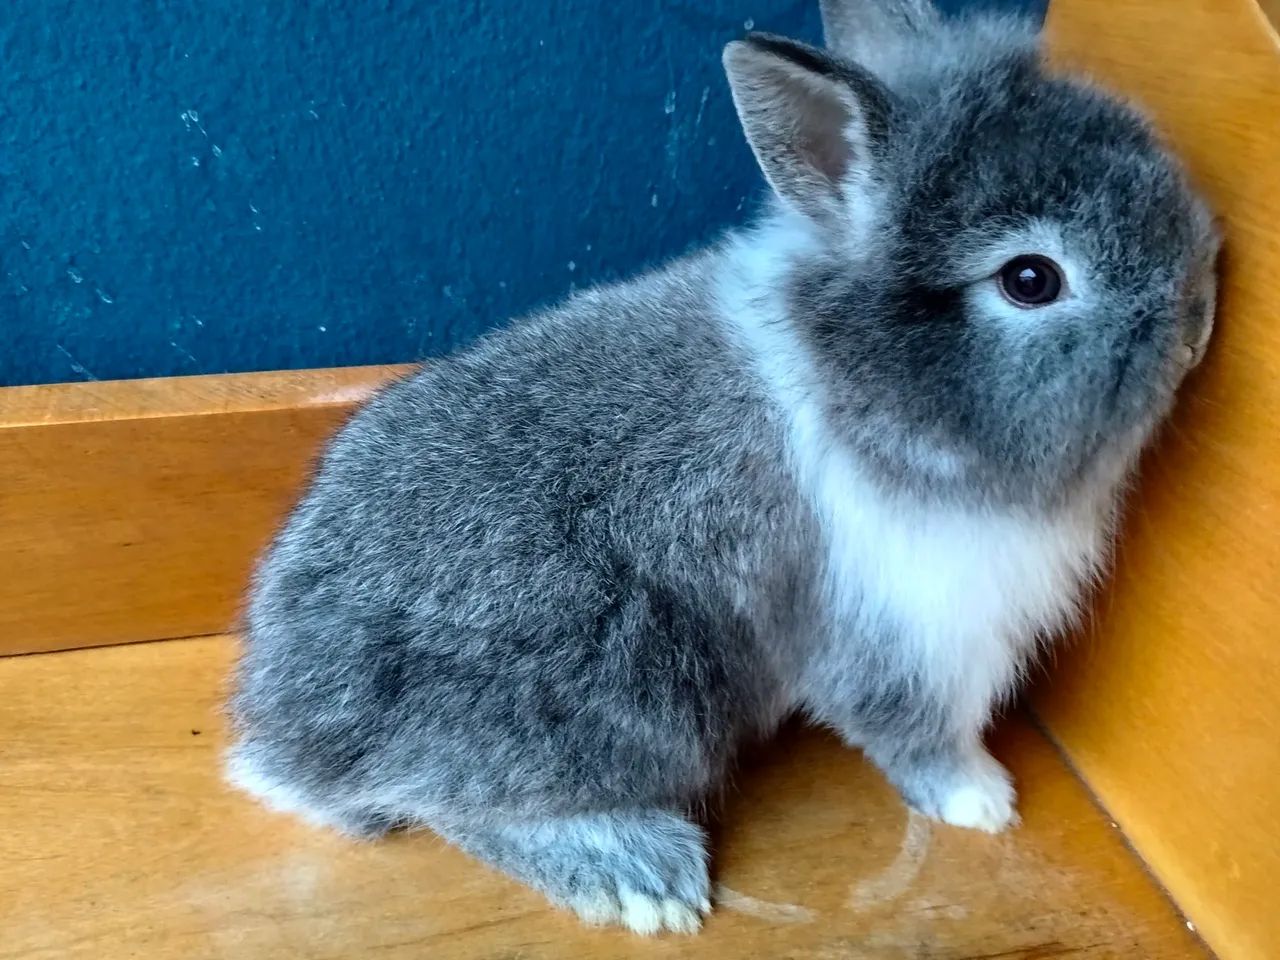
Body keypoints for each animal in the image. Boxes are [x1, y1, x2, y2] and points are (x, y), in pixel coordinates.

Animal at [226, 0, 1220, 937]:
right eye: (1030, 280)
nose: (1200, 316)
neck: (853, 389)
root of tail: (285, 741)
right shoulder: (904, 632)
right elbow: (916, 734)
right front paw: (984, 801)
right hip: (628, 697)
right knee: (454, 804)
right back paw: (640, 876)